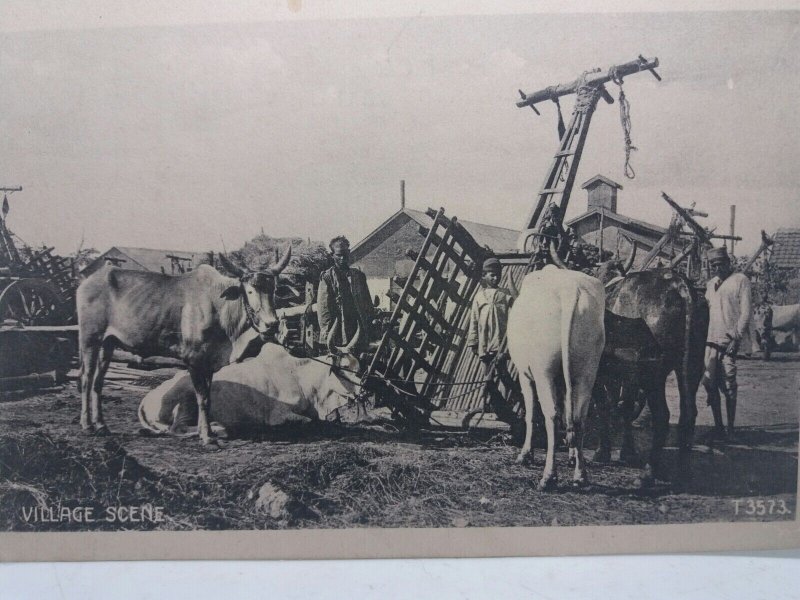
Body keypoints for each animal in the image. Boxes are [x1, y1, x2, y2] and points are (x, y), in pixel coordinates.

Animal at [76, 246, 290, 442]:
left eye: (273, 290)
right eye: (250, 290)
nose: (271, 324)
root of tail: (87, 282)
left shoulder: (209, 361)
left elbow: (208, 398)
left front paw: (209, 431)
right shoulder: (193, 359)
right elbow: (201, 397)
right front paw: (206, 436)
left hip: (108, 343)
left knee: (98, 381)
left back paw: (102, 425)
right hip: (89, 338)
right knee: (87, 378)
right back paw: (87, 425)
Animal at [139, 328, 360, 436]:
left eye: (357, 365)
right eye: (343, 367)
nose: (363, 392)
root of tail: (147, 399)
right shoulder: (277, 414)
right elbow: (308, 421)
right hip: (187, 398)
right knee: (177, 429)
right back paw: (218, 428)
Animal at [506, 264, 608, 490]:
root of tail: (569, 289)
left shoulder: (525, 375)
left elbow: (531, 414)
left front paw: (525, 455)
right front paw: (571, 456)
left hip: (544, 370)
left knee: (551, 415)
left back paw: (548, 477)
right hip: (587, 370)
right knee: (578, 417)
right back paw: (580, 476)